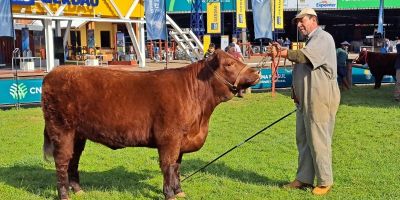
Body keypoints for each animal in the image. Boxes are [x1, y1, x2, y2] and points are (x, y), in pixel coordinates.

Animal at [40, 49, 260, 200]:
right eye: (229, 64)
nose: (257, 72)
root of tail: (52, 74)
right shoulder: (169, 138)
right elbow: (168, 166)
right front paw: (169, 194)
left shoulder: (180, 141)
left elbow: (177, 167)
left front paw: (179, 192)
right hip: (62, 130)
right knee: (62, 162)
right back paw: (64, 195)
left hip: (78, 135)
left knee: (73, 160)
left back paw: (78, 191)